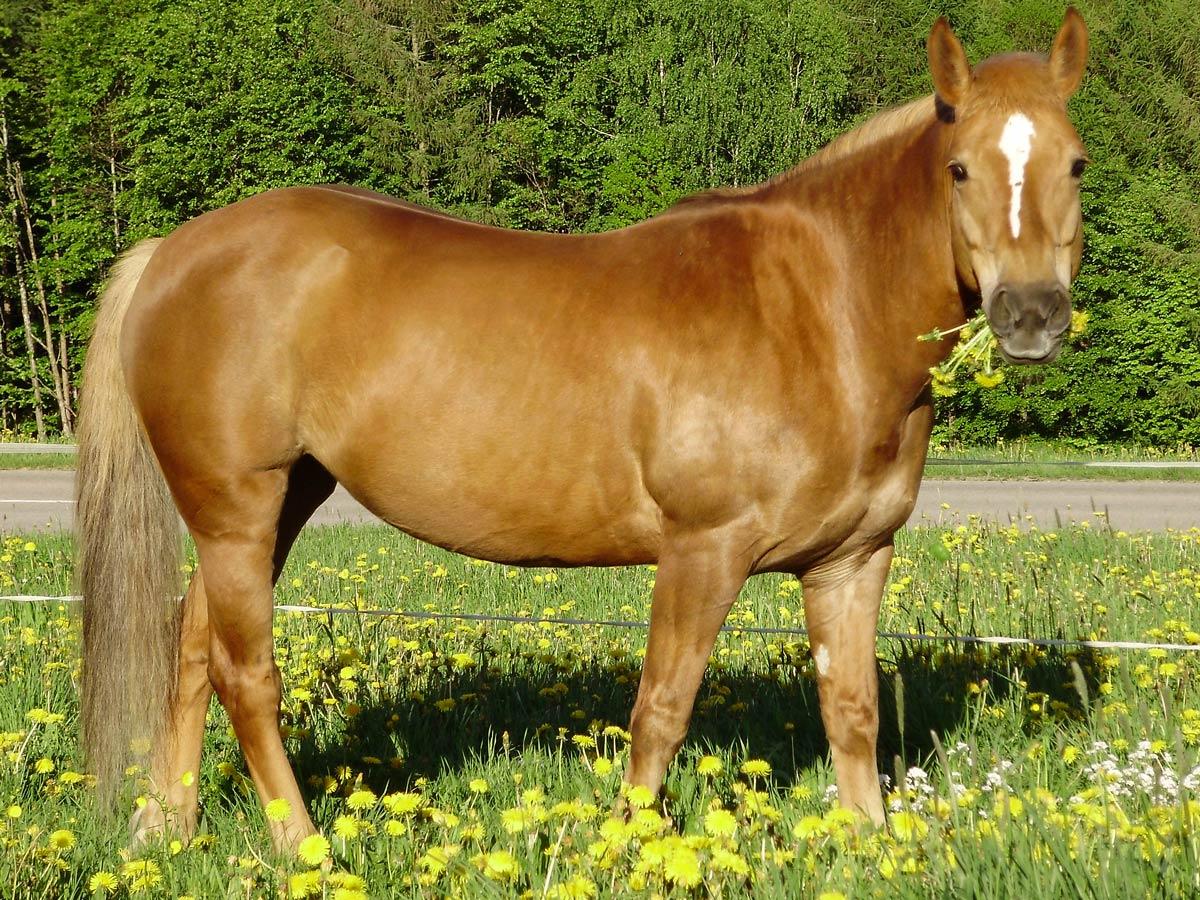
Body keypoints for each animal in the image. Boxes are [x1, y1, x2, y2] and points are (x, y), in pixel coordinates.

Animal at [75, 10, 1089, 849]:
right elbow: (662, 709)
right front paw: (632, 846)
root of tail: (174, 251)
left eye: (1076, 164)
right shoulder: (703, 551)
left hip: (280, 500)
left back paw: (164, 828)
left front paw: (871, 843)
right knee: (246, 672)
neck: (818, 311)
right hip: (235, 509)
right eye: (960, 168)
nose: (1032, 316)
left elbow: (852, 708)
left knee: (192, 648)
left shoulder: (853, 560)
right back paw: (299, 844)